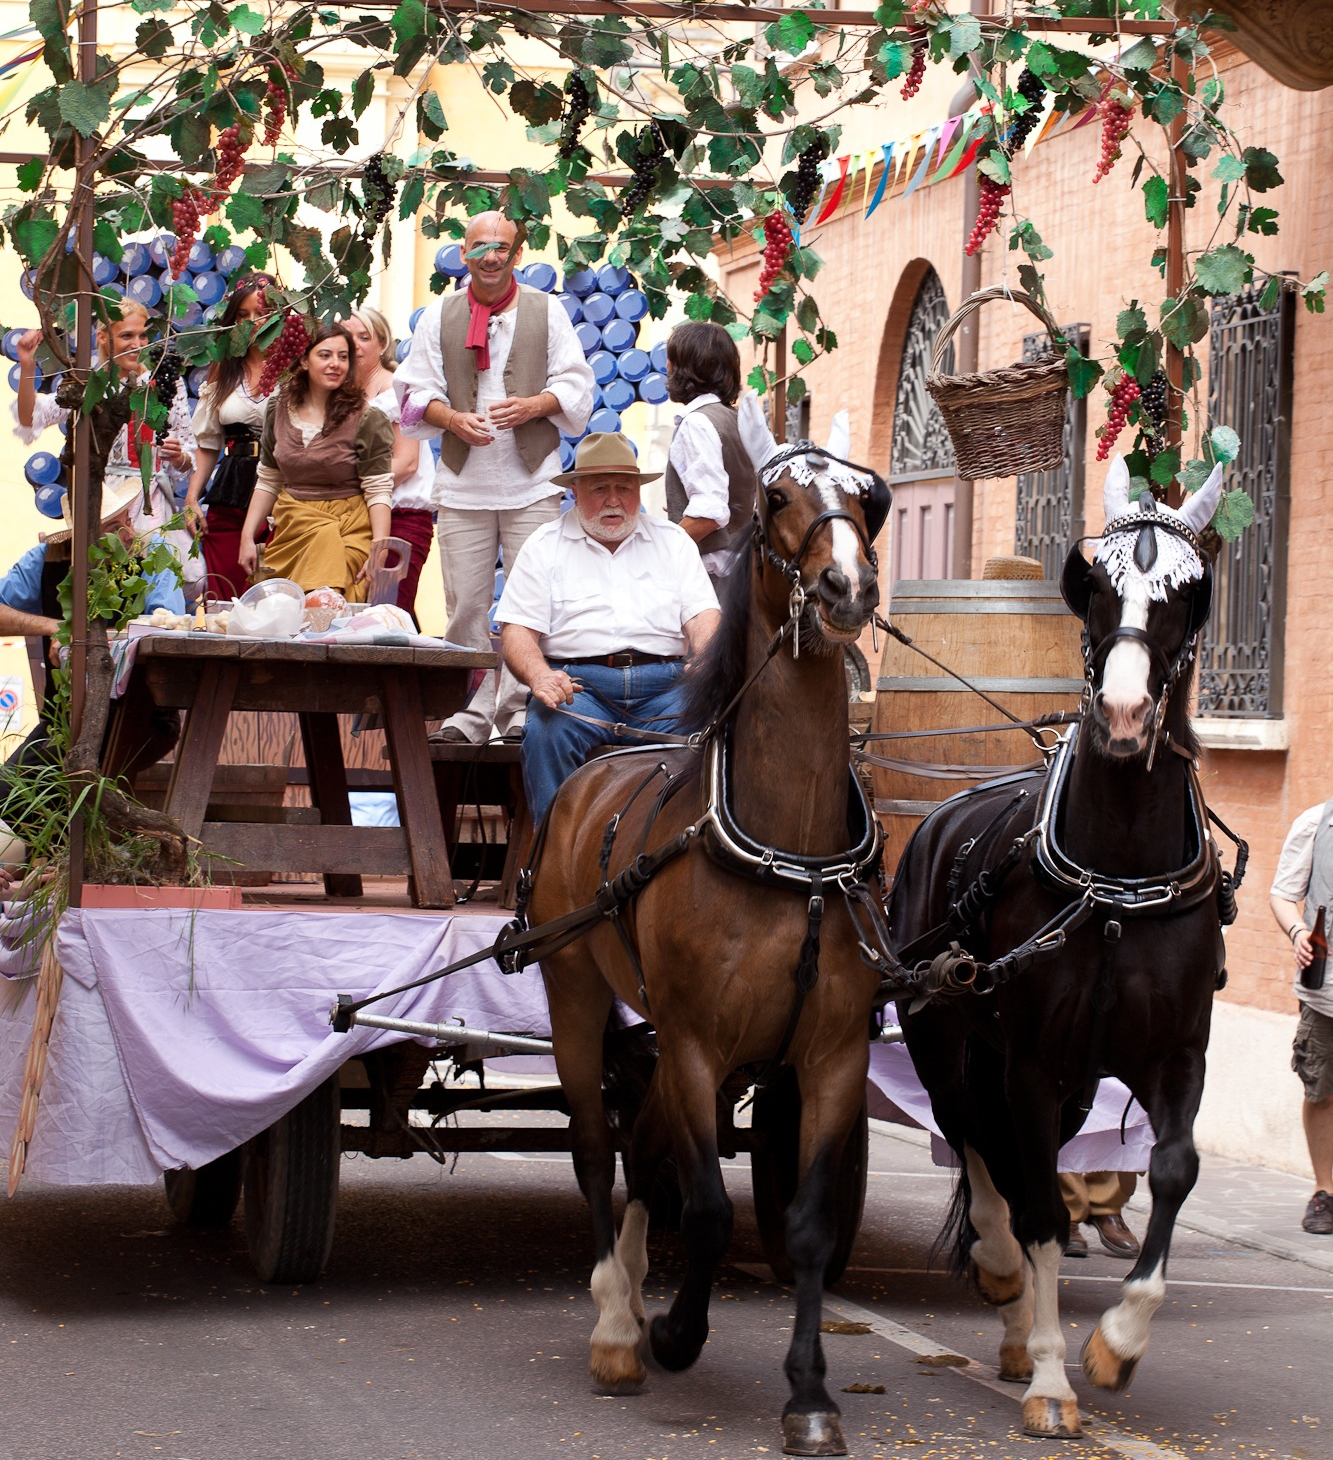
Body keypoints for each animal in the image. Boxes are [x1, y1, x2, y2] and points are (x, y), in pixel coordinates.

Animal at [525, 411, 887, 1460]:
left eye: (868, 497)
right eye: (776, 498)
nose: (847, 588)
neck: (789, 853)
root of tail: (595, 768)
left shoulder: (829, 1057)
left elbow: (801, 1223)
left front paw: (809, 1394)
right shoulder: (692, 1043)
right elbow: (712, 1208)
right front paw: (675, 1332)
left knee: (643, 1150)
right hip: (572, 990)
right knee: (596, 1147)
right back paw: (615, 1322)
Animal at [881, 461, 1238, 1442]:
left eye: (1187, 595)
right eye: (1092, 586)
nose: (1119, 716)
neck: (1114, 883)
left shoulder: (1175, 1054)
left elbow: (1173, 1169)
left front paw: (1114, 1343)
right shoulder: (1031, 1064)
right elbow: (1039, 1205)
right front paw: (1049, 1377)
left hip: (1074, 1083)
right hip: (947, 1040)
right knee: (974, 1142)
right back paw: (1004, 1283)